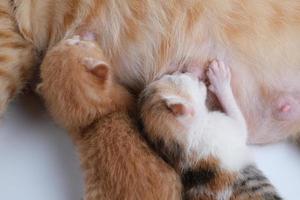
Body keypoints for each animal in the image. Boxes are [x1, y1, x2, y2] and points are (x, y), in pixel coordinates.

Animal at [140, 61, 282, 200]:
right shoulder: (229, 128)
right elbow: (239, 119)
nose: (184, 70)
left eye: (170, 75)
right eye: (176, 78)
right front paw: (220, 79)